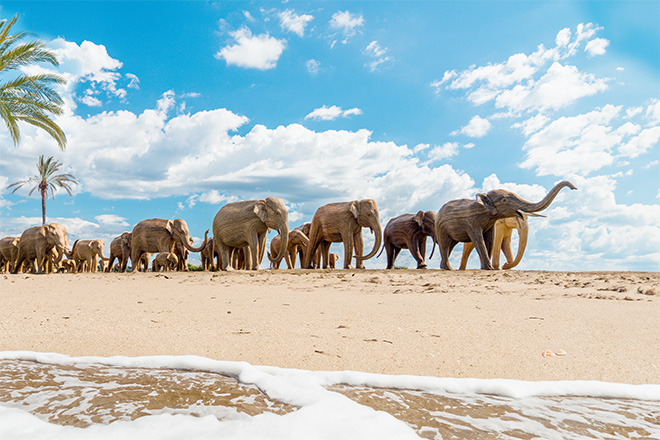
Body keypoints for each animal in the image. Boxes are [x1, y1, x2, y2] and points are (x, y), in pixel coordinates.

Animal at [436, 180, 576, 270]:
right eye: (504, 200)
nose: (574, 188)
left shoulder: (492, 224)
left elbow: (491, 240)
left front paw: (492, 268)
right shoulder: (473, 222)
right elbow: (480, 240)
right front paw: (492, 268)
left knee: (450, 245)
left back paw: (447, 268)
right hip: (441, 226)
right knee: (445, 243)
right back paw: (449, 268)